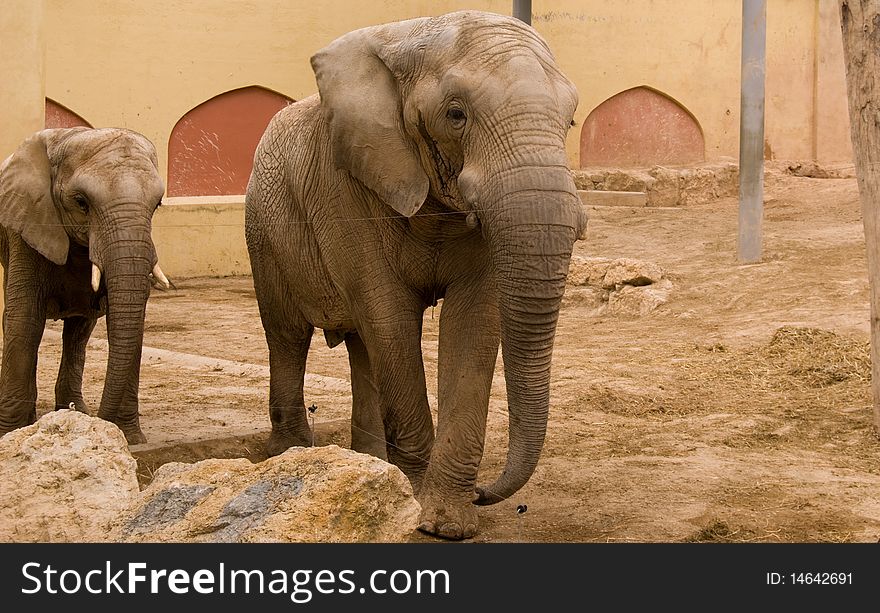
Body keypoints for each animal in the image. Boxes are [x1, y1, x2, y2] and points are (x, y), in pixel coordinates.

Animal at [0, 126, 171, 442]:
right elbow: (25, 319)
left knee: (79, 330)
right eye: (81, 202)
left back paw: (75, 410)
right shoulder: (27, 227)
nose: (104, 423)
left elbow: (127, 319)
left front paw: (131, 439)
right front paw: (10, 432)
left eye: (157, 205)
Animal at [244, 8, 588, 536]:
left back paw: (367, 464)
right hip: (263, 231)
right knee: (288, 337)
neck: (411, 37)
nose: (485, 492)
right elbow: (391, 319)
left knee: (360, 345)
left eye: (570, 119)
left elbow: (473, 323)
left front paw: (445, 523)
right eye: (456, 114)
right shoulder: (344, 187)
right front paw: (413, 508)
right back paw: (293, 456)